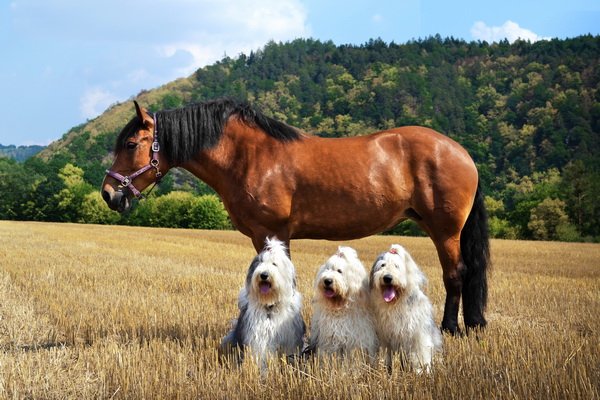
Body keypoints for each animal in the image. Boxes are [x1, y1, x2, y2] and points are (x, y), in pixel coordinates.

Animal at [102, 100, 488, 334]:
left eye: (131, 144)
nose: (109, 193)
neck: (251, 156)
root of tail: (461, 152)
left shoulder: (271, 232)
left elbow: (280, 277)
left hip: (445, 229)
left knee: (456, 274)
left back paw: (450, 328)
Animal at [220, 238, 304, 368]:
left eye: (274, 264)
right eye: (259, 263)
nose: (263, 275)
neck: (269, 306)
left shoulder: (290, 338)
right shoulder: (257, 336)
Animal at [368, 244, 442, 376]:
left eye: (396, 266)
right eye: (382, 265)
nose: (387, 278)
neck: (395, 304)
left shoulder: (419, 334)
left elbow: (420, 354)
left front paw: (421, 372)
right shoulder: (384, 336)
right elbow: (386, 355)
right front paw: (385, 371)